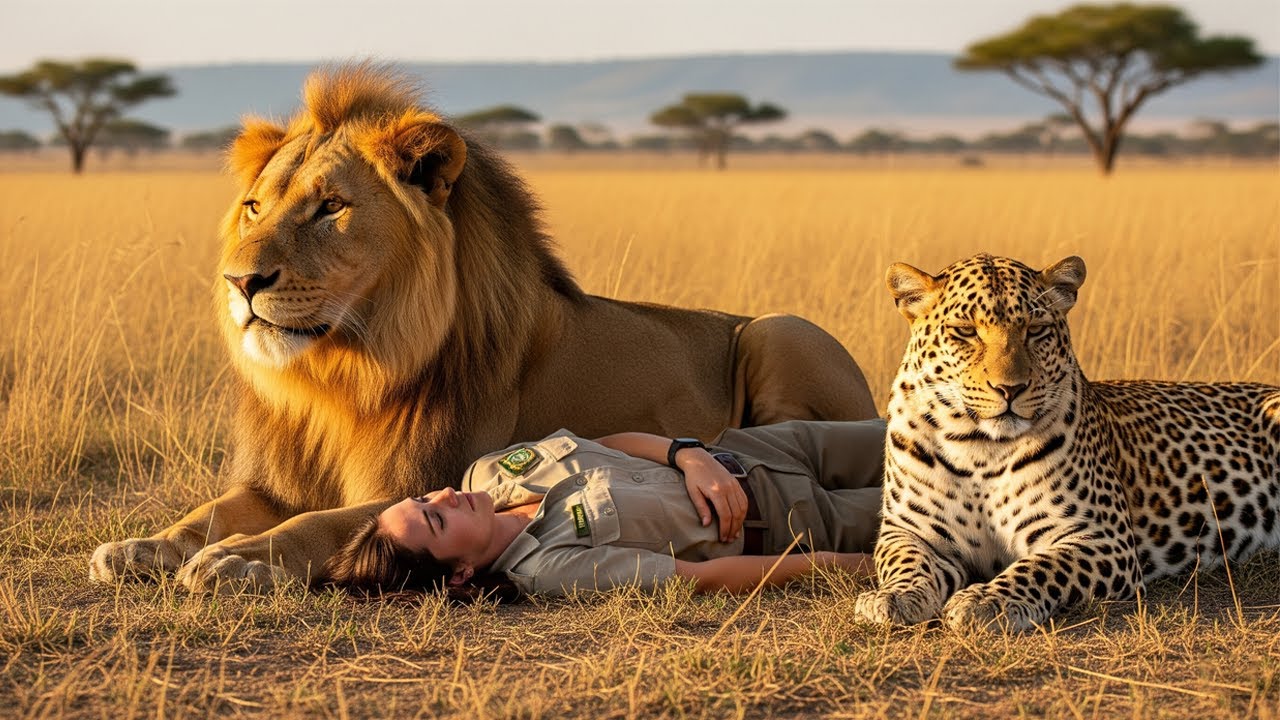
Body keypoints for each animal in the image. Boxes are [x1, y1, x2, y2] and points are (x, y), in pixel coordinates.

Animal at [89, 64, 877, 592]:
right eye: (255, 206)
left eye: (330, 207)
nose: (240, 283)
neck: (338, 377)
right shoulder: (278, 481)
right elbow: (209, 510)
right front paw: (140, 548)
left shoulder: (427, 476)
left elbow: (323, 524)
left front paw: (241, 558)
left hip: (783, 328)